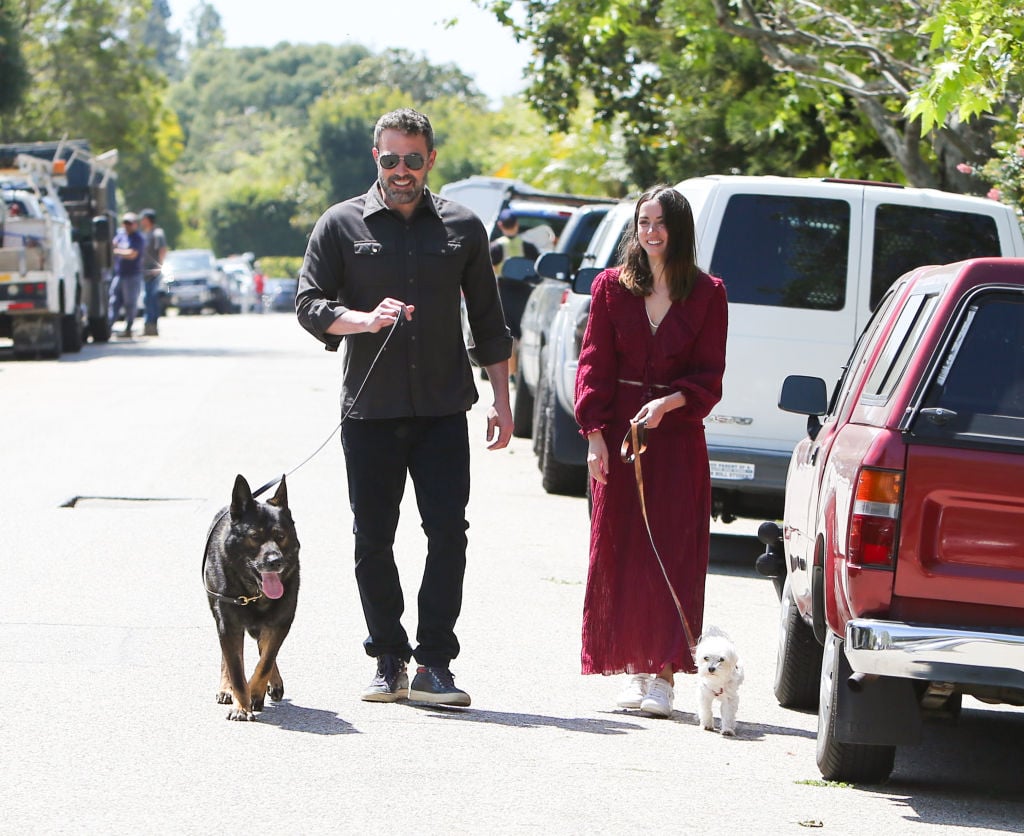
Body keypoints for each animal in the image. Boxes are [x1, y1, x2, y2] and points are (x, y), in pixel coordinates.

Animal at [202, 473, 299, 721]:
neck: (254, 593)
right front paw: (241, 705)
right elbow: (236, 668)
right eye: (254, 536)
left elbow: (265, 662)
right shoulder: (228, 624)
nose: (275, 561)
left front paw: (255, 692)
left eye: (280, 536)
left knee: (265, 650)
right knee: (229, 657)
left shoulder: (281, 622)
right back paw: (226, 689)